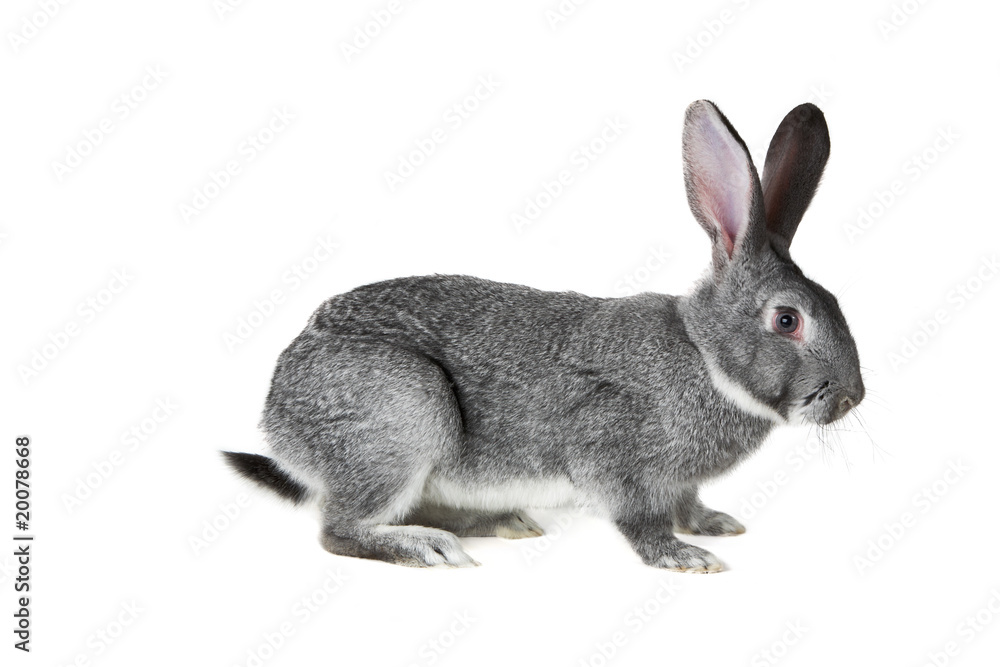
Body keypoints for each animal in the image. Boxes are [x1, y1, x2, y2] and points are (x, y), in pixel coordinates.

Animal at [223, 100, 864, 572]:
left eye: (835, 302)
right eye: (787, 320)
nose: (852, 396)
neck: (705, 357)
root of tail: (278, 415)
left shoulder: (677, 482)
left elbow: (686, 502)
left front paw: (713, 525)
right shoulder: (614, 461)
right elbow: (639, 520)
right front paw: (683, 556)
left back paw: (501, 522)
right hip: (405, 412)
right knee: (339, 530)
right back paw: (428, 547)